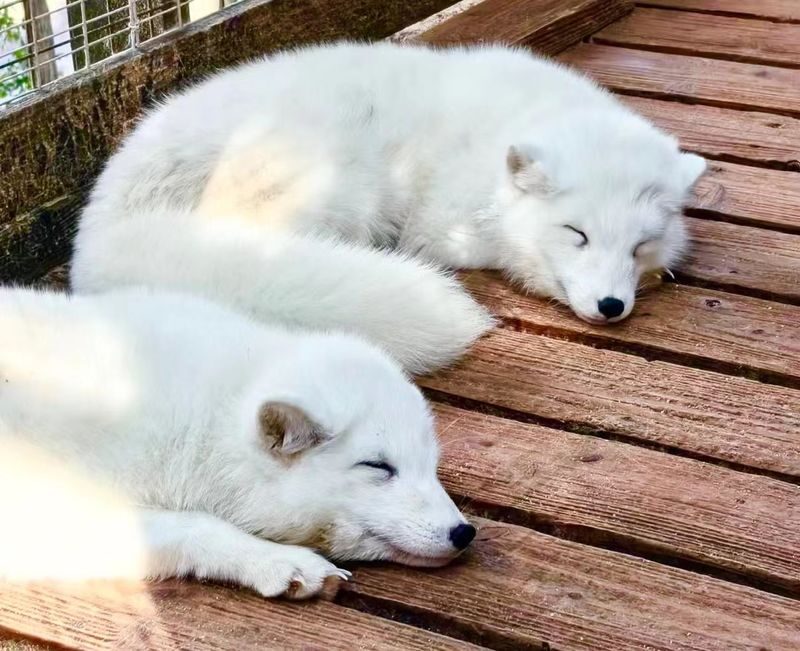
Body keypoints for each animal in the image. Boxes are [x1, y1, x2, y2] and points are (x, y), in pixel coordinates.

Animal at [0, 287, 475, 598]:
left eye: (431, 465)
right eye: (378, 467)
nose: (464, 532)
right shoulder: (49, 509)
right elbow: (195, 525)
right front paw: (279, 562)